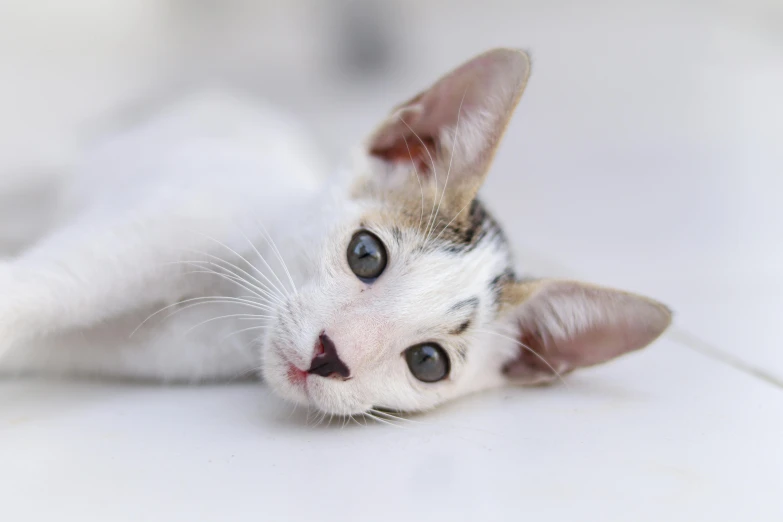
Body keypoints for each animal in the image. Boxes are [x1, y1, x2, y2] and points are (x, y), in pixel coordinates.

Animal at [0, 48, 672, 414]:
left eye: (427, 362)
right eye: (366, 254)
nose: (331, 356)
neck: (233, 304)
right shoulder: (161, 227)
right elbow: (47, 287)